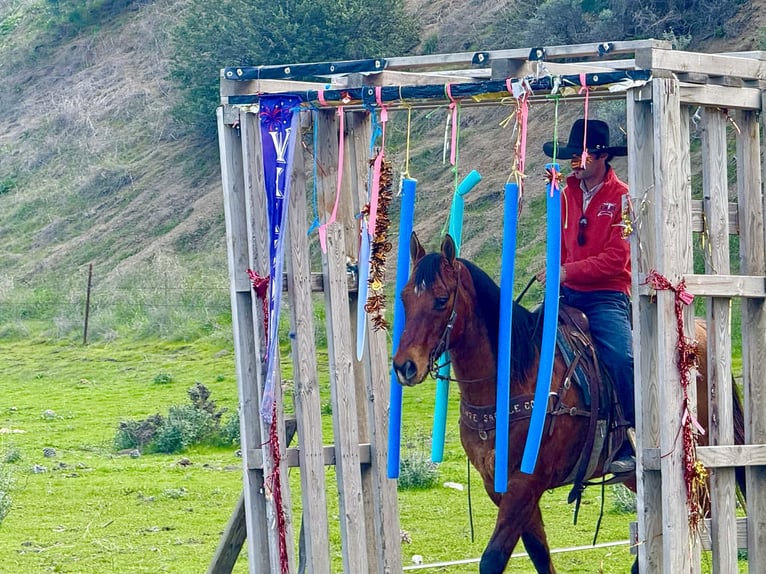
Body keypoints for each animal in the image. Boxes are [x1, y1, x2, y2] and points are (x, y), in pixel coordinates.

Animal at [392, 232, 745, 574]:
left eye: (441, 300)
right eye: (405, 298)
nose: (404, 366)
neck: (513, 380)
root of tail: (699, 329)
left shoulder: (525, 485)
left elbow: (492, 559)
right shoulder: (501, 487)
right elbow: (540, 554)